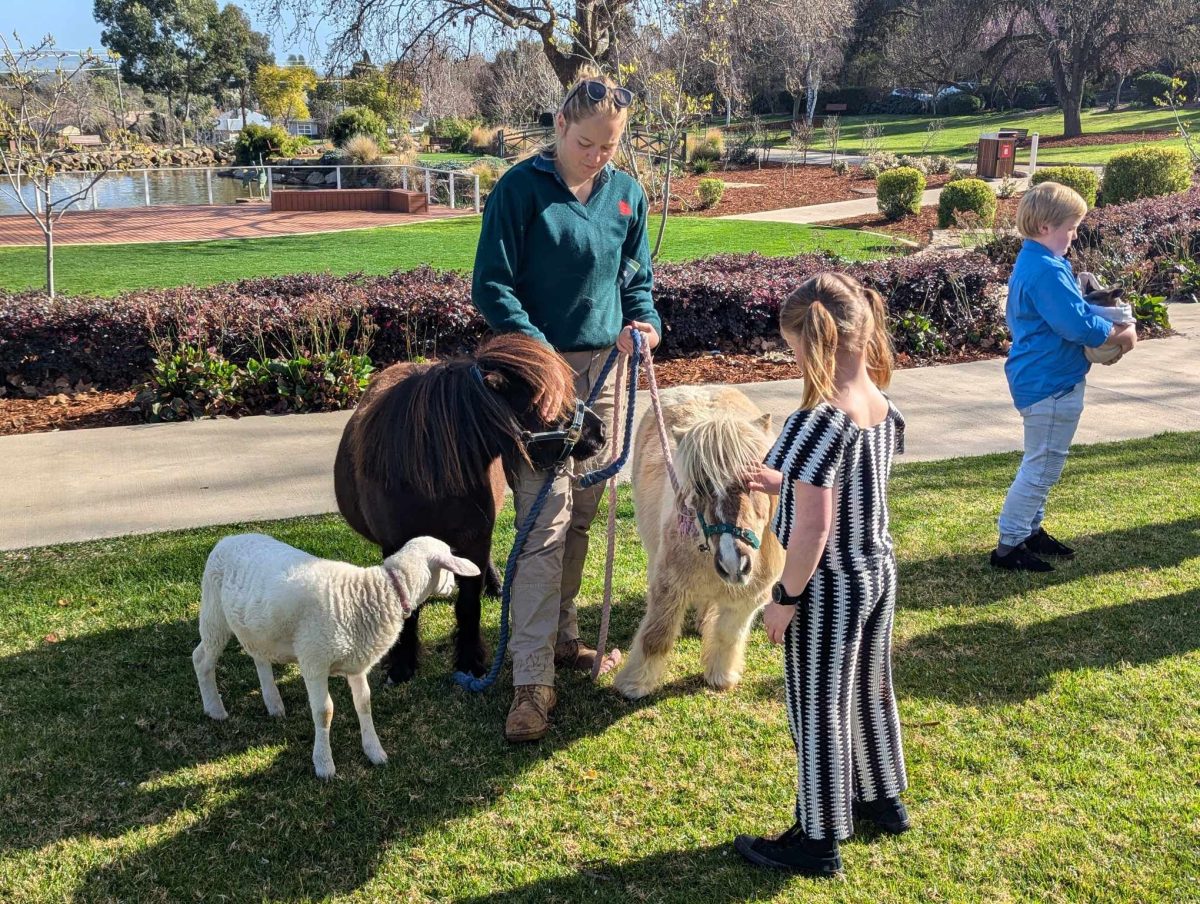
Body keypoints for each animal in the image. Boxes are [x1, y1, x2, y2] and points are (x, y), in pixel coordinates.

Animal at [192, 533, 477, 777]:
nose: (452, 587)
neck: (378, 593)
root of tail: (228, 539)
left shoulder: (357, 663)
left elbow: (364, 702)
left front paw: (374, 751)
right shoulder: (314, 660)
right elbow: (324, 711)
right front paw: (324, 764)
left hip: (257, 628)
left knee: (260, 658)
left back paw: (273, 704)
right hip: (214, 614)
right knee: (201, 658)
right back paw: (215, 709)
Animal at [333, 336, 604, 681]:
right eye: (547, 402)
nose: (601, 431)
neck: (429, 476)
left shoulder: (475, 540)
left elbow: (469, 604)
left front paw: (470, 661)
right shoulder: (396, 546)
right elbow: (408, 608)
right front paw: (402, 665)